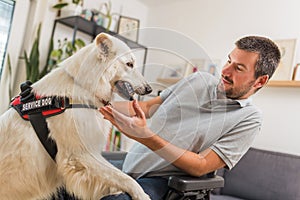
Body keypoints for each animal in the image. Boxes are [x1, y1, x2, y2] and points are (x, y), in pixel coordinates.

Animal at [0, 33, 152, 200]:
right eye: (129, 64)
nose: (149, 89)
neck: (82, 87)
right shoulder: (80, 155)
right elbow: (124, 177)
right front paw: (141, 195)